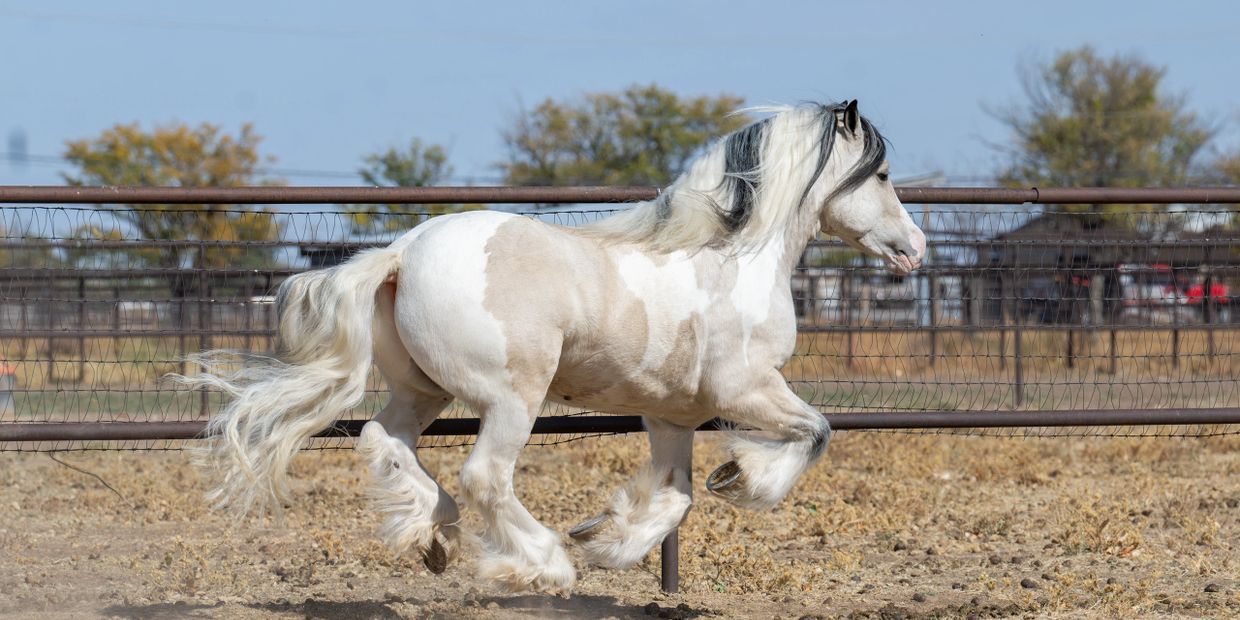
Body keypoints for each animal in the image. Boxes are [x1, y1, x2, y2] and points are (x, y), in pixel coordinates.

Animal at [176, 100, 926, 594]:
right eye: (884, 176)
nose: (914, 249)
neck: (734, 258)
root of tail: (403, 250)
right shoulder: (748, 388)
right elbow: (816, 432)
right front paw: (742, 476)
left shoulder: (672, 415)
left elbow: (677, 498)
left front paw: (609, 537)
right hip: (513, 397)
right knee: (485, 476)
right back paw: (539, 563)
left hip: (423, 389)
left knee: (384, 440)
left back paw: (433, 536)